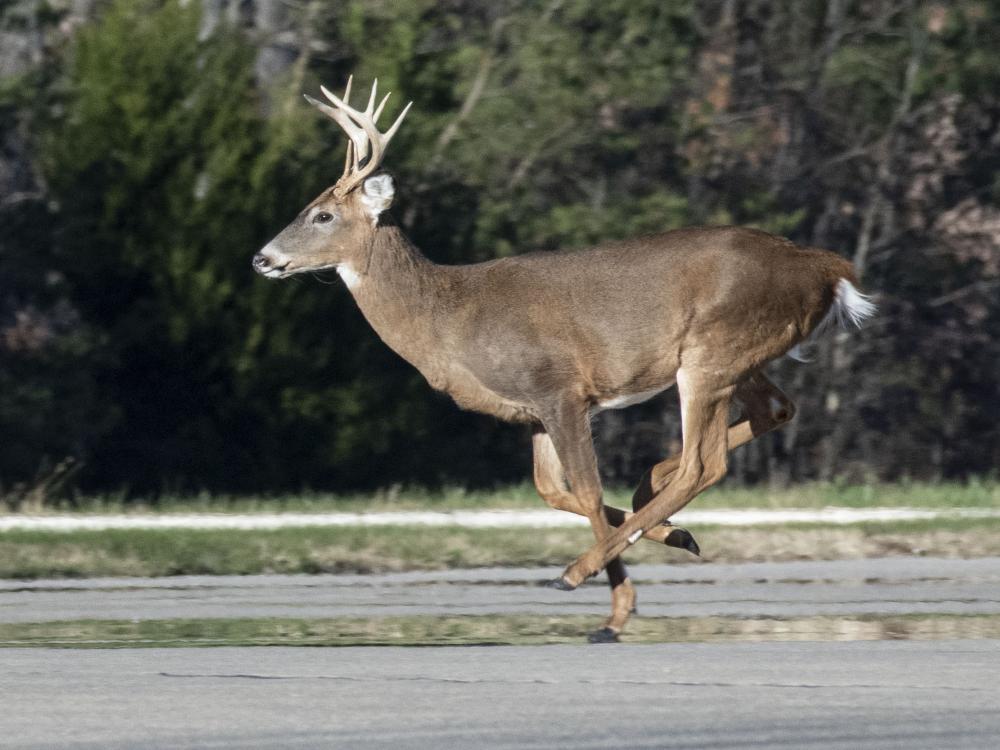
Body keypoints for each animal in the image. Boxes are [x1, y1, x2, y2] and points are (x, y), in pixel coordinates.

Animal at [252, 78, 876, 648]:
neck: (447, 318)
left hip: (711, 351)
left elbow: (586, 489)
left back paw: (576, 570)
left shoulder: (559, 387)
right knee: (776, 410)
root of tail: (827, 267)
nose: (261, 258)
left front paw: (617, 611)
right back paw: (655, 502)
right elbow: (557, 492)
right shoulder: (530, 410)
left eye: (323, 215)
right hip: (740, 357)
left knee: (707, 464)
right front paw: (671, 540)